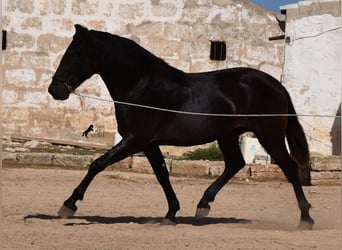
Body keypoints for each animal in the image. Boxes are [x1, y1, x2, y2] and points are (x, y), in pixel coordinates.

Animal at [48, 24, 316, 229]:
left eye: (74, 53)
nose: (54, 90)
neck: (141, 86)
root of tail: (276, 85)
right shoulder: (149, 144)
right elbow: (162, 174)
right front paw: (171, 214)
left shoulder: (135, 139)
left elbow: (97, 164)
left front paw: (68, 205)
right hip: (227, 135)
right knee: (235, 164)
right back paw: (203, 205)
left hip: (269, 135)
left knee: (290, 168)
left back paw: (306, 218)